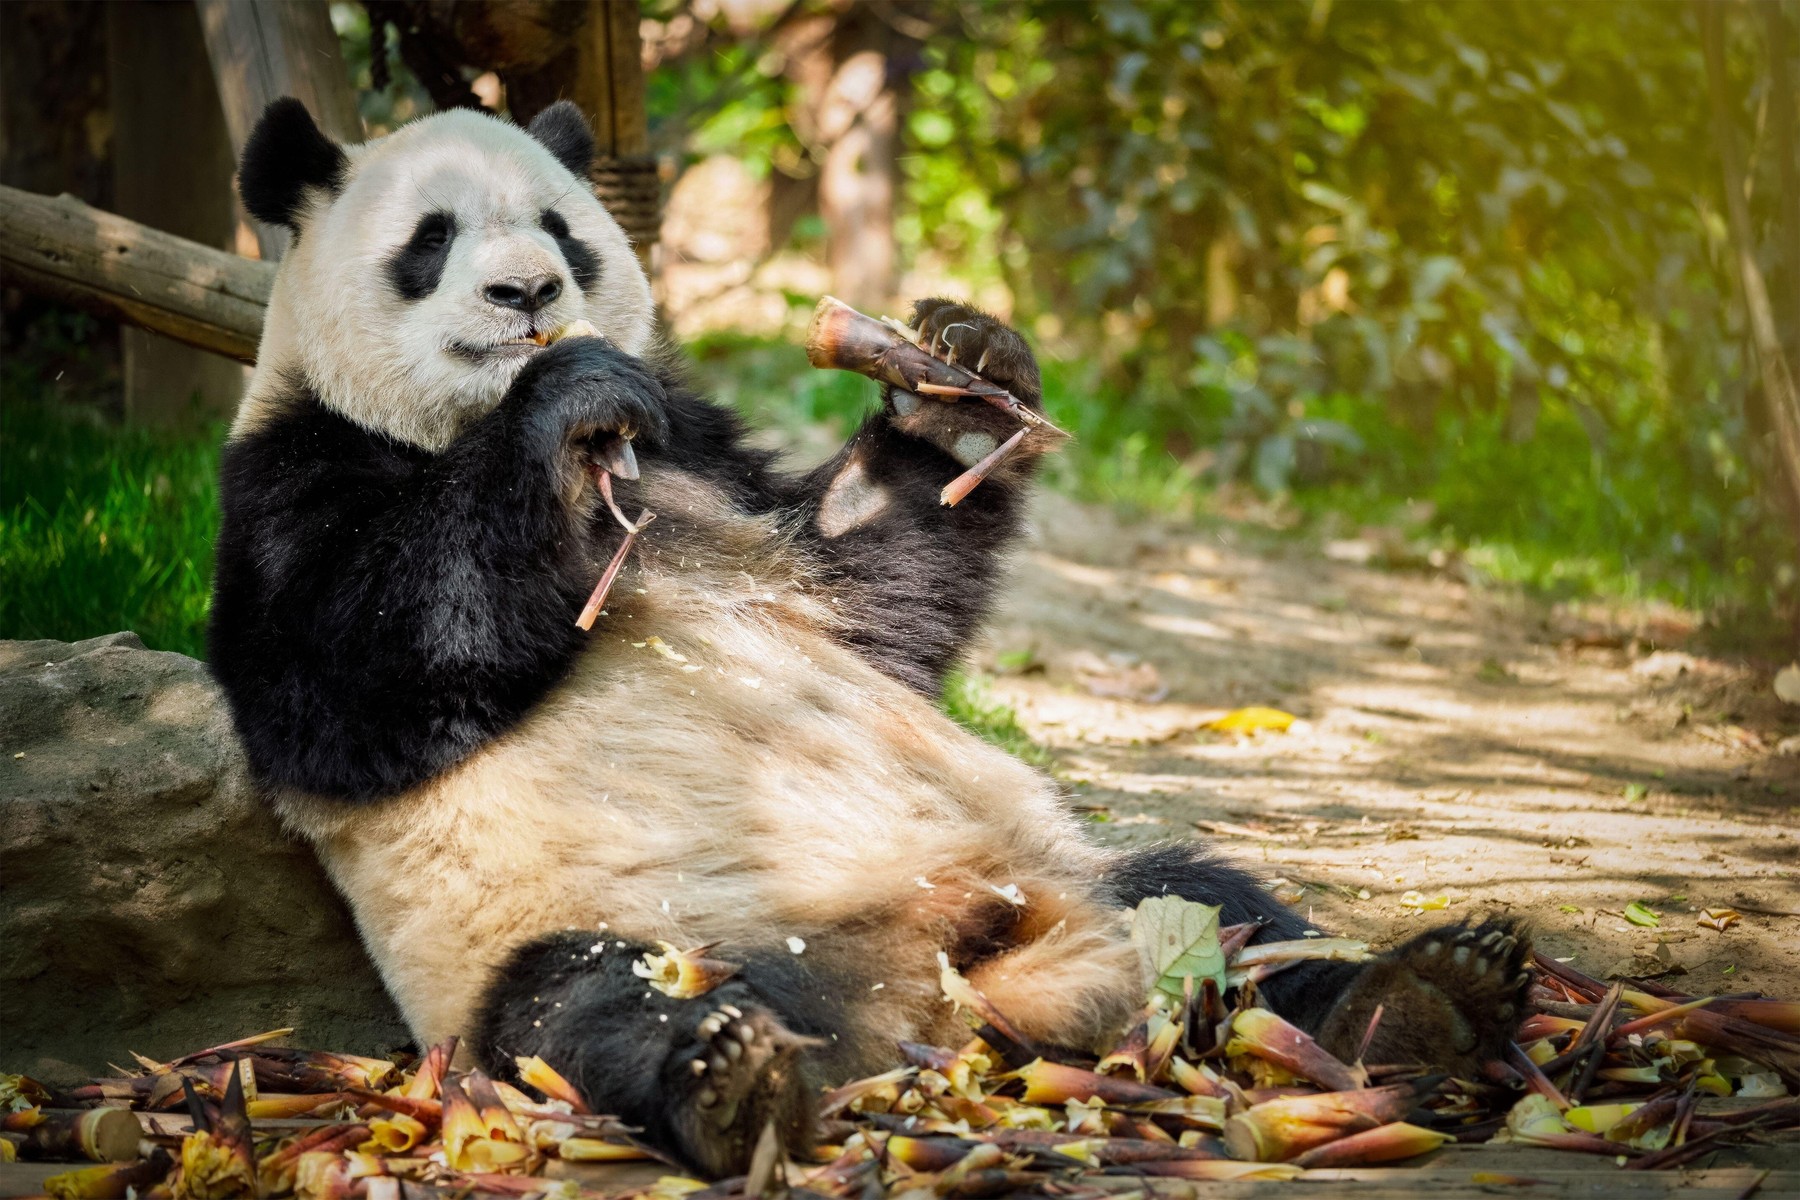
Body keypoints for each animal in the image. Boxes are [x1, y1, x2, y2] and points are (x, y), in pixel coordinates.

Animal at [208, 97, 1530, 1178]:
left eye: (561, 229)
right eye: (430, 242)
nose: (529, 294)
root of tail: (938, 991)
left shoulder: (710, 468)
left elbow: (875, 595)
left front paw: (958, 375)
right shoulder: (285, 488)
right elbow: (358, 682)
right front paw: (565, 399)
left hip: (1069, 876)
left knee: (1222, 905)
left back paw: (1423, 997)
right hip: (588, 933)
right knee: (583, 1008)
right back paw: (729, 1078)